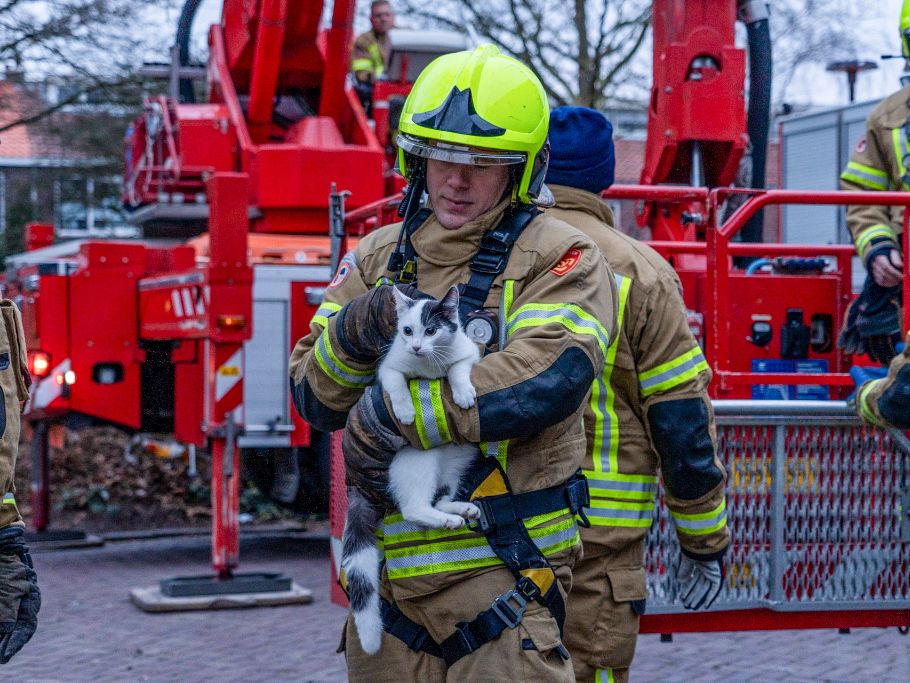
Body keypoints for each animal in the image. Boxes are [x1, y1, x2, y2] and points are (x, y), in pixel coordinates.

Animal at [342, 286, 484, 656]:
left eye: (431, 330)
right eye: (407, 331)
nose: (417, 346)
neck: (429, 366)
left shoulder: (468, 352)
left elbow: (460, 367)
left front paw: (462, 391)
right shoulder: (390, 365)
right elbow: (394, 383)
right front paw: (405, 409)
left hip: (459, 456)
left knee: (438, 497)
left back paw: (457, 511)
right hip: (418, 457)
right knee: (414, 507)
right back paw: (446, 519)